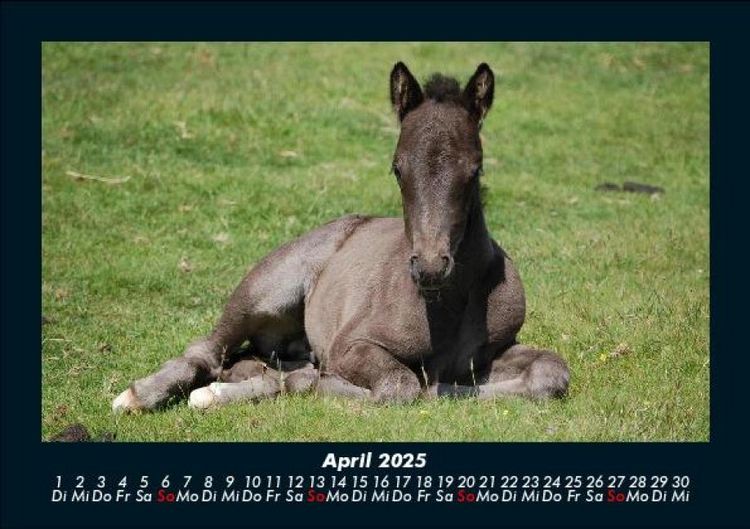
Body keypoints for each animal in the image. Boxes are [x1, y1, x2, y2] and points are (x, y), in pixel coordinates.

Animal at [112, 62, 569, 412]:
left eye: (474, 169)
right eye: (397, 168)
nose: (429, 267)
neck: (446, 306)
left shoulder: (492, 352)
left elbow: (550, 373)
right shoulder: (351, 345)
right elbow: (399, 386)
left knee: (248, 362)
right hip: (267, 288)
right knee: (208, 350)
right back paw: (140, 396)